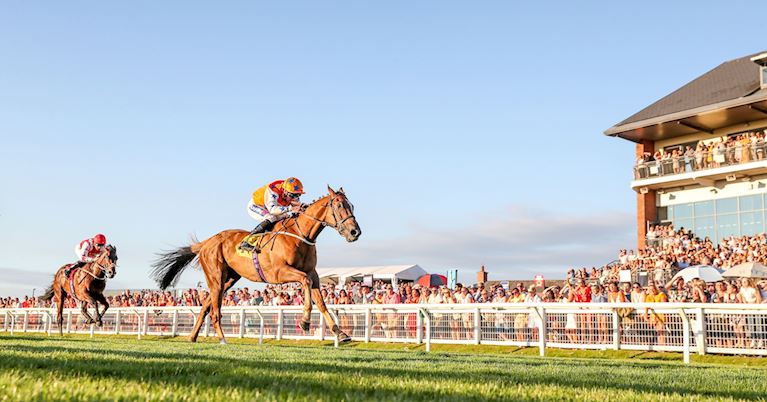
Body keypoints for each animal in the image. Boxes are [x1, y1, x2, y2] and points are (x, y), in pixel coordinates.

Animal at [154, 187, 364, 344]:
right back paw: (222, 339)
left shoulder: (313, 273)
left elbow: (321, 302)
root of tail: (207, 242)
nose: (355, 232)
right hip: (216, 277)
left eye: (352, 206)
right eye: (339, 205)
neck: (300, 235)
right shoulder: (280, 272)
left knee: (206, 305)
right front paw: (305, 321)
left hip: (229, 279)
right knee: (215, 310)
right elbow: (305, 282)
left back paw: (193, 337)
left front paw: (341, 333)